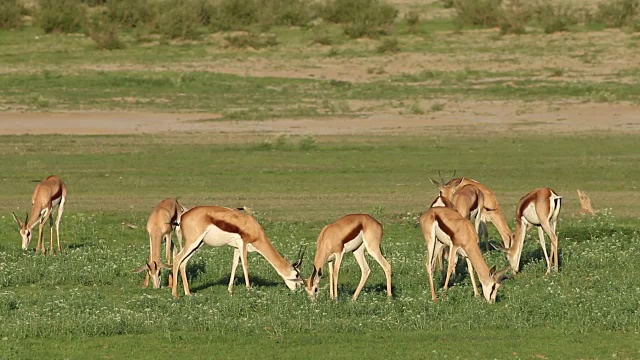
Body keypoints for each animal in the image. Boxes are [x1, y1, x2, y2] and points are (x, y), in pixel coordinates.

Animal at [171, 207, 304, 296]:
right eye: (297, 274)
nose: (297, 288)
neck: (253, 228)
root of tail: (183, 216)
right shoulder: (243, 244)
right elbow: (245, 264)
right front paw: (249, 289)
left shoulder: (236, 248)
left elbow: (234, 264)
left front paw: (230, 290)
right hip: (193, 242)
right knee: (177, 259)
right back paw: (175, 294)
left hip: (198, 244)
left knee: (183, 263)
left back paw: (188, 293)